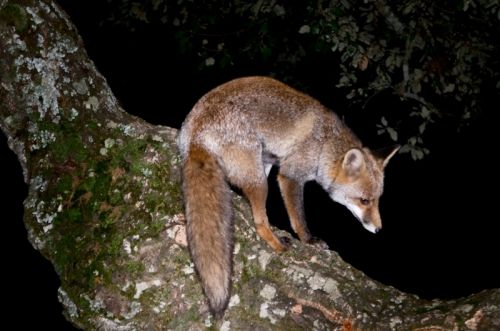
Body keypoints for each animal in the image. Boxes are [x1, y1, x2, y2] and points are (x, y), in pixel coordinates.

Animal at [179, 76, 398, 318]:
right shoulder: (290, 175)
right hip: (260, 181)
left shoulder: (270, 161)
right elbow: (298, 218)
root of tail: (196, 139)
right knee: (259, 223)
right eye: (364, 201)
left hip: (258, 168)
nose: (378, 229)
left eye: (378, 200)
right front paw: (308, 240)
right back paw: (277, 244)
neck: (324, 145)